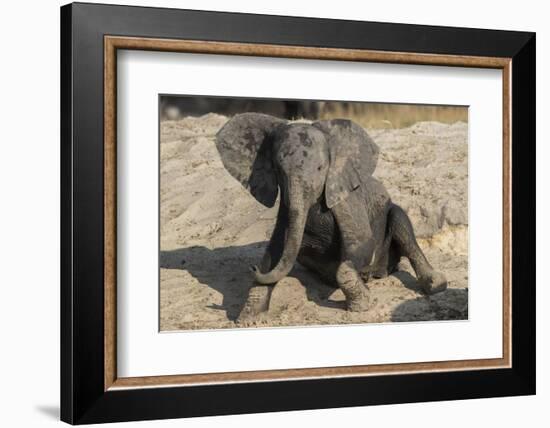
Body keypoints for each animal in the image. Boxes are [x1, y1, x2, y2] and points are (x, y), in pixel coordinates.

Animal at [216, 113, 448, 320]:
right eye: (279, 170)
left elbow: (362, 243)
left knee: (401, 224)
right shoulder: (285, 207)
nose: (251, 267)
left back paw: (435, 285)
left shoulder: (345, 199)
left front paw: (361, 305)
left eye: (321, 168)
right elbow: (275, 253)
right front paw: (249, 319)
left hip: (392, 217)